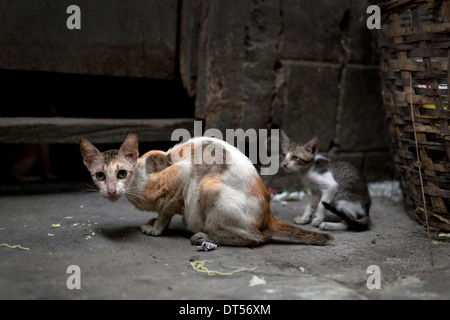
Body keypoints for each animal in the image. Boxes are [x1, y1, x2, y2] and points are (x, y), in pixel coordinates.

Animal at [79, 132, 330, 248]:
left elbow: (165, 211)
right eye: (100, 176)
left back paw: (204, 236)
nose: (111, 191)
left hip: (206, 187)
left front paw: (156, 228)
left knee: (256, 238)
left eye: (122, 173)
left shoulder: (182, 177)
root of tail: (269, 214)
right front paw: (152, 222)